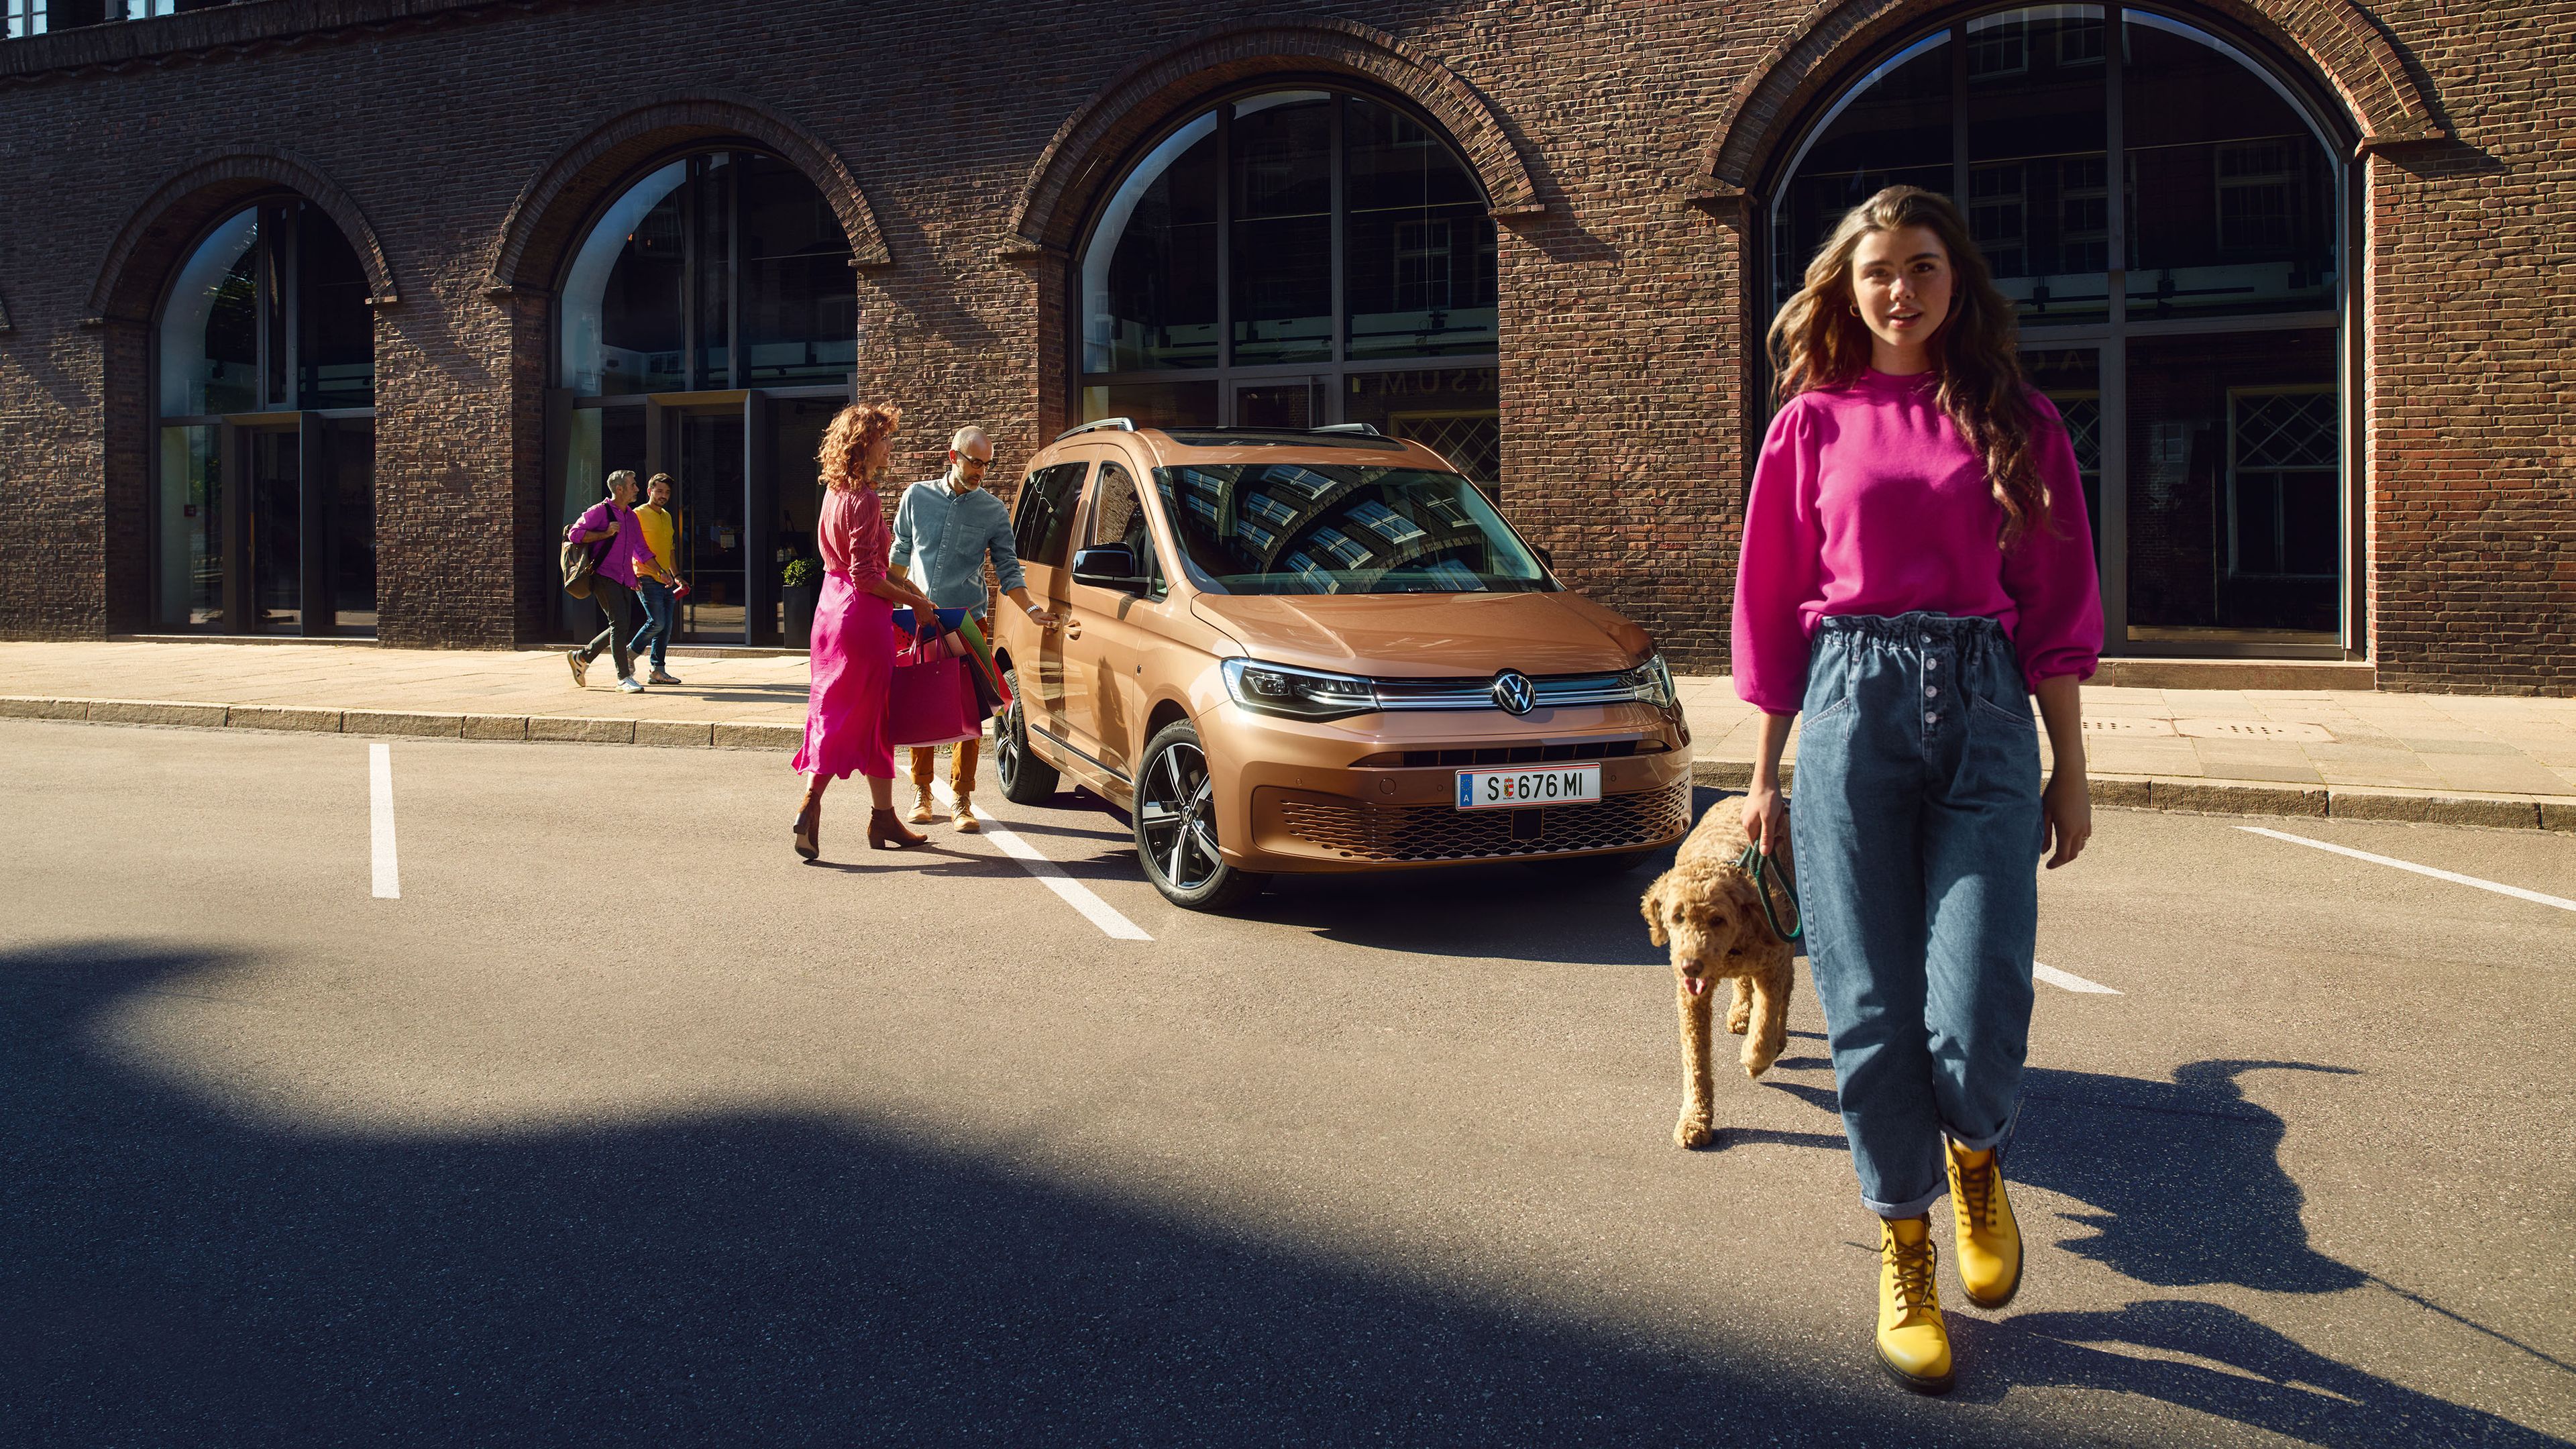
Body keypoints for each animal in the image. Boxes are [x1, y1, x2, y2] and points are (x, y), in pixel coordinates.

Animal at [1638, 794, 1803, 1144]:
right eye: (1677, 916)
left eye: (1718, 919)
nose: (1690, 966)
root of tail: (1739, 796)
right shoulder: (1692, 998)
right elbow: (1696, 1060)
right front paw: (1695, 1119)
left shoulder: (1772, 964)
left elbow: (1765, 1021)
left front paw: (1756, 1059)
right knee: (1744, 983)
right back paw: (1740, 1012)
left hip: (1788, 928)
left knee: (1785, 992)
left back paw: (1777, 1037)